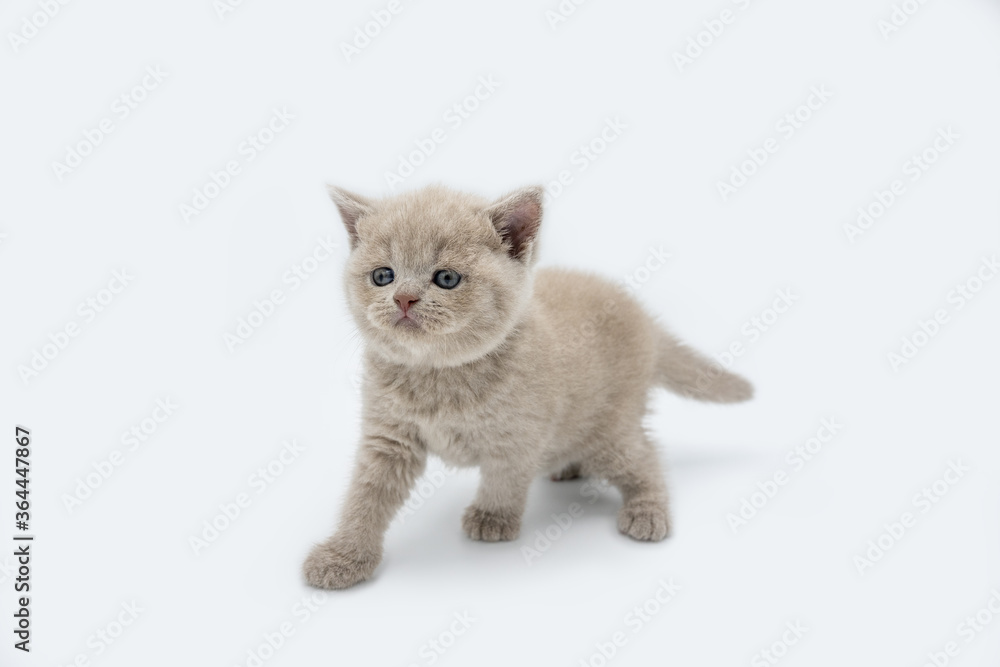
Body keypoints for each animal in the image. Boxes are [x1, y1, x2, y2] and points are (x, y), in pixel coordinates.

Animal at [300, 184, 752, 588]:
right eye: (383, 276)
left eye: (445, 278)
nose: (404, 299)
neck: (439, 374)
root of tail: (646, 319)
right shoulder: (388, 439)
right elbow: (365, 497)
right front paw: (343, 557)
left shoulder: (517, 435)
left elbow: (506, 477)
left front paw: (492, 518)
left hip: (608, 429)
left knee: (644, 457)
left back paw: (647, 512)